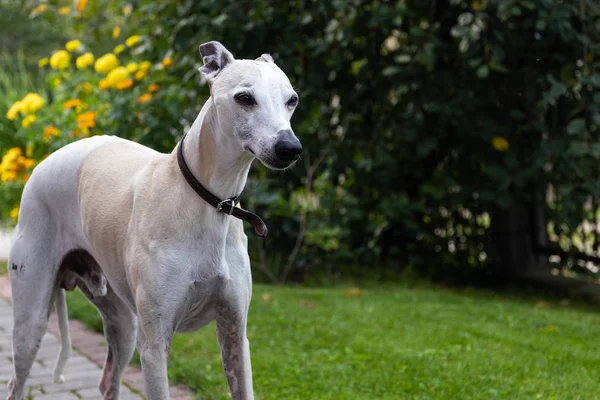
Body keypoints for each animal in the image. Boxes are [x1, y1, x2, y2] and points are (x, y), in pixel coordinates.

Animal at [7, 41, 302, 400]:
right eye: (245, 97)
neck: (209, 200)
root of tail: (44, 161)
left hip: (123, 322)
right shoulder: (154, 346)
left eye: (292, 99)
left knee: (108, 379)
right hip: (32, 318)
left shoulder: (235, 333)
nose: (290, 148)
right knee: (17, 379)